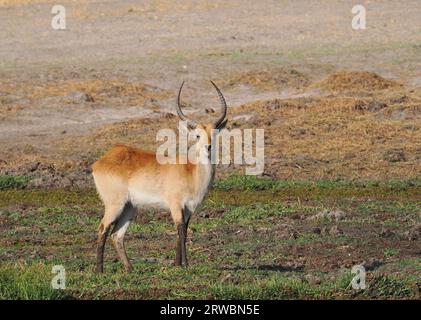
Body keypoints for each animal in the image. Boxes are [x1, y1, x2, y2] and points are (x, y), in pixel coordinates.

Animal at [93, 80, 228, 272]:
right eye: (197, 135)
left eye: (214, 133)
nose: (208, 147)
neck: (191, 172)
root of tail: (102, 160)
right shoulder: (175, 205)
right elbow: (181, 231)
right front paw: (185, 265)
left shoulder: (189, 209)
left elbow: (183, 232)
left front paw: (178, 264)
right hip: (114, 205)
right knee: (102, 228)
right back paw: (100, 271)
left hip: (130, 207)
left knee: (116, 234)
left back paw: (130, 269)